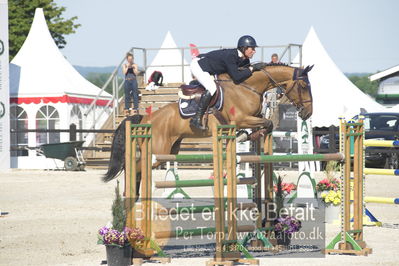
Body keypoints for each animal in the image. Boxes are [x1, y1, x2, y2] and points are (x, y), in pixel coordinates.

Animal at [104, 63, 316, 194]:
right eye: (304, 86)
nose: (308, 113)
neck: (248, 87)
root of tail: (147, 117)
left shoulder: (253, 117)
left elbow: (266, 124)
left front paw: (247, 136)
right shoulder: (241, 119)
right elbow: (268, 123)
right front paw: (245, 136)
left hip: (170, 149)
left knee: (137, 168)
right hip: (158, 152)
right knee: (134, 167)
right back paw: (130, 196)